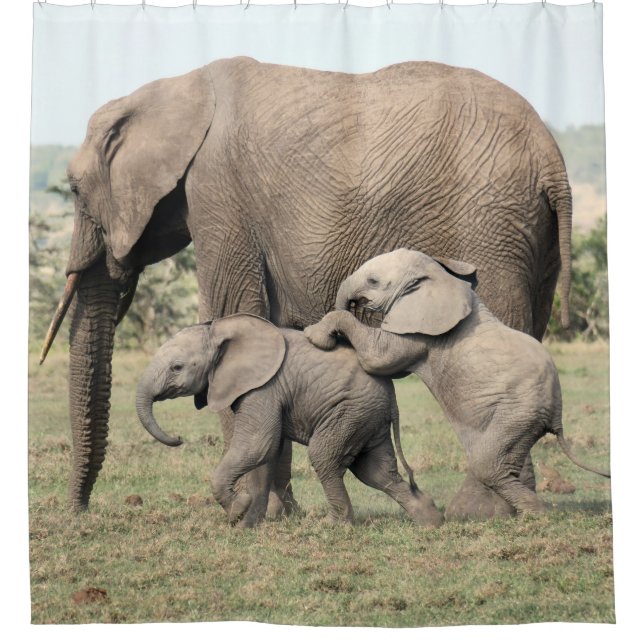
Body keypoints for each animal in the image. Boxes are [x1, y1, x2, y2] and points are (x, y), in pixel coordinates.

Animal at [135, 313, 443, 528]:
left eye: (177, 367)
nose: (178, 438)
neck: (220, 329)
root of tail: (391, 395)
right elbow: (266, 454)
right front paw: (247, 525)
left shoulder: (263, 387)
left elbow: (258, 444)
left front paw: (237, 511)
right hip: (368, 417)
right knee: (375, 471)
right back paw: (430, 519)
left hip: (350, 411)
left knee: (325, 456)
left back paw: (334, 525)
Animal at [304, 249, 609, 519]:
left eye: (373, 281)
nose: (354, 303)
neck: (438, 275)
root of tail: (557, 415)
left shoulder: (420, 329)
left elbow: (379, 358)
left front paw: (314, 336)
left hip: (520, 411)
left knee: (487, 462)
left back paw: (535, 515)